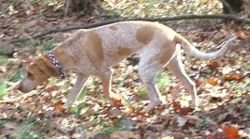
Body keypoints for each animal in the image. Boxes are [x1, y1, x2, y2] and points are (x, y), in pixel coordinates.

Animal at [18, 20, 236, 111]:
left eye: (30, 74)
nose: (19, 88)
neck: (71, 49)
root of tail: (173, 33)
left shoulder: (106, 73)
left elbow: (107, 93)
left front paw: (119, 100)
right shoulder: (83, 76)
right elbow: (70, 98)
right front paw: (61, 112)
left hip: (145, 69)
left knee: (158, 98)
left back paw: (143, 110)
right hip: (173, 65)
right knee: (190, 85)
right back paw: (193, 106)